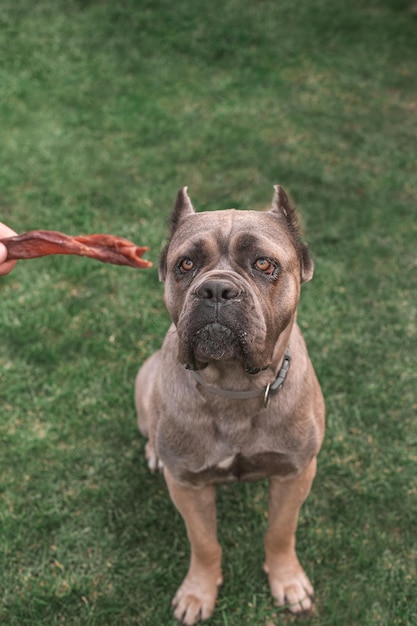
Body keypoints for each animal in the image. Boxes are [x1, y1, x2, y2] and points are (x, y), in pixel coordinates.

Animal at [135, 183, 324, 620]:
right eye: (186, 264)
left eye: (264, 264)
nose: (217, 289)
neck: (235, 386)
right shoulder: (188, 485)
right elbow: (204, 543)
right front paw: (197, 593)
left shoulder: (296, 473)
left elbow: (280, 531)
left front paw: (288, 581)